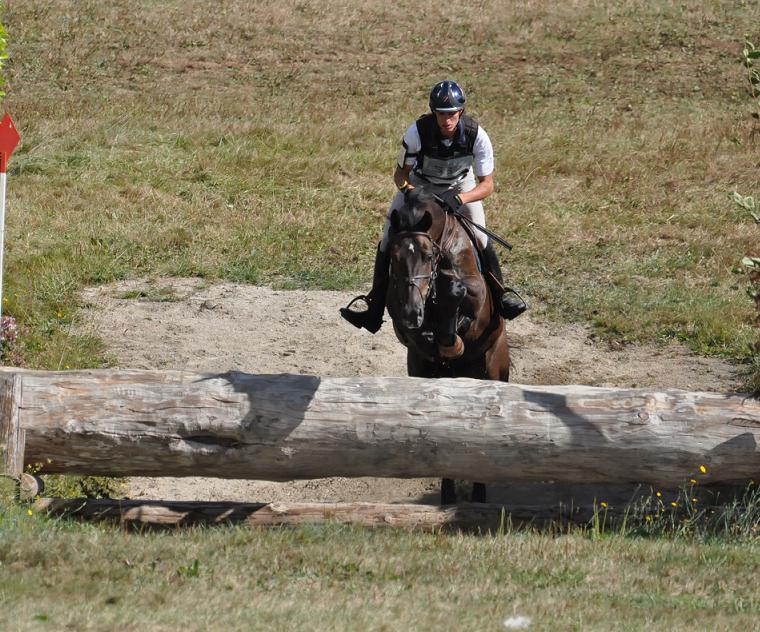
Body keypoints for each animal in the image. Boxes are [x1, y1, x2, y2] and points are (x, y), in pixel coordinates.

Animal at [386, 186, 510, 504]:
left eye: (428, 255)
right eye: (393, 257)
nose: (412, 312)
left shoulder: (478, 311)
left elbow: (459, 303)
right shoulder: (401, 319)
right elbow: (420, 336)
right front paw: (438, 339)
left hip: (493, 369)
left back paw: (478, 497)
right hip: (419, 371)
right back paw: (448, 496)